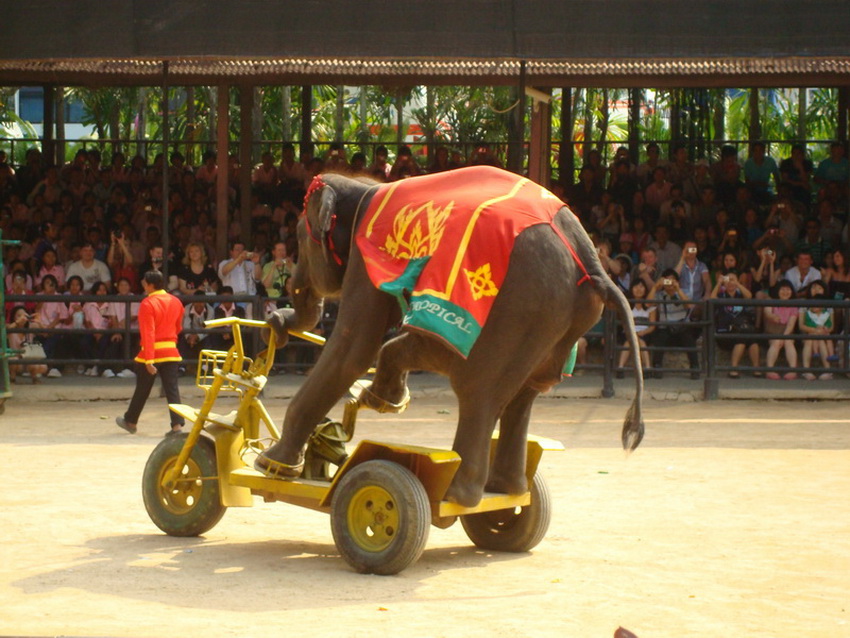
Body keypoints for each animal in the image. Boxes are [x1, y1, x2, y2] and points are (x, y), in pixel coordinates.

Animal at [258, 166, 644, 510]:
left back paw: (456, 494)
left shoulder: (368, 258)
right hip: (559, 322)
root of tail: (594, 266)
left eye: (299, 237)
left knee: (476, 388)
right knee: (522, 394)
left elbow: (355, 346)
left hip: (516, 309)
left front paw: (270, 463)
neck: (365, 187)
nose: (275, 319)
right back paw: (505, 489)